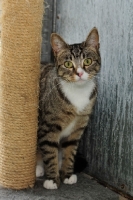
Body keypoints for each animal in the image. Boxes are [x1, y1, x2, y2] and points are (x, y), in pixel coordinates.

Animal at [35, 27, 100, 189]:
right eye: (68, 64)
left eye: (87, 61)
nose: (80, 73)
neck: (78, 92)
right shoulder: (48, 126)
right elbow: (50, 150)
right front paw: (52, 179)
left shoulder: (78, 127)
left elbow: (70, 151)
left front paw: (68, 174)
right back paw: (38, 167)